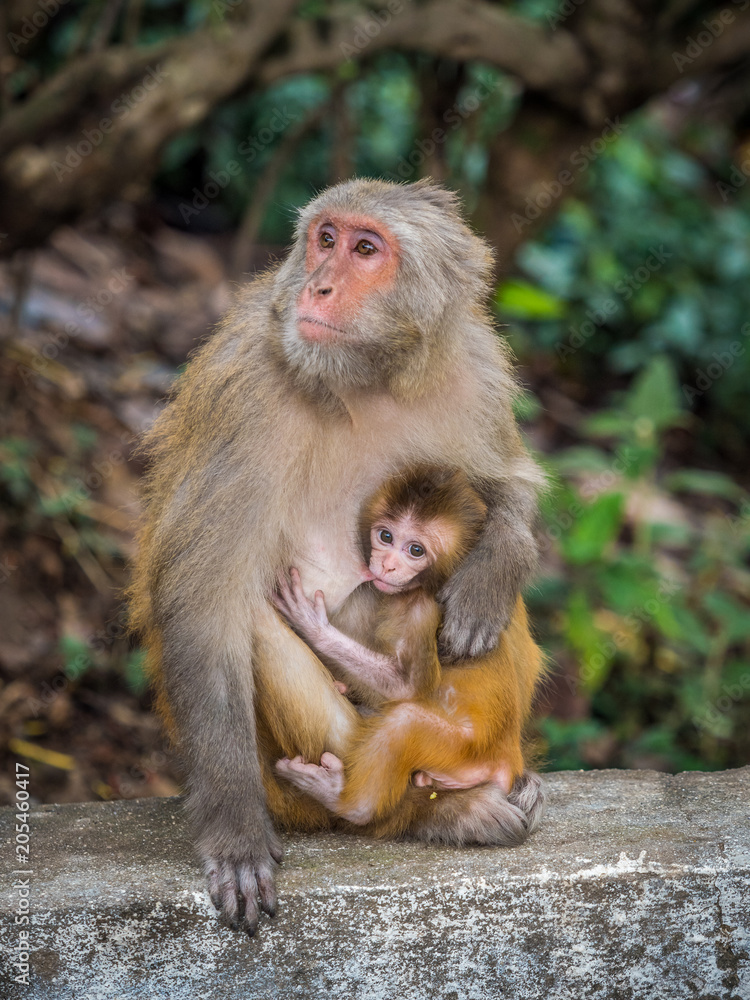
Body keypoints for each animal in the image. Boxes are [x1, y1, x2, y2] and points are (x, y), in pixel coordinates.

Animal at [274, 468, 544, 836]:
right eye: (386, 536)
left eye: (415, 550)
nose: (386, 565)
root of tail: (510, 759)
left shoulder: (421, 610)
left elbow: (408, 685)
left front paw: (313, 627)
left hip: (464, 751)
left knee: (405, 722)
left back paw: (344, 799)